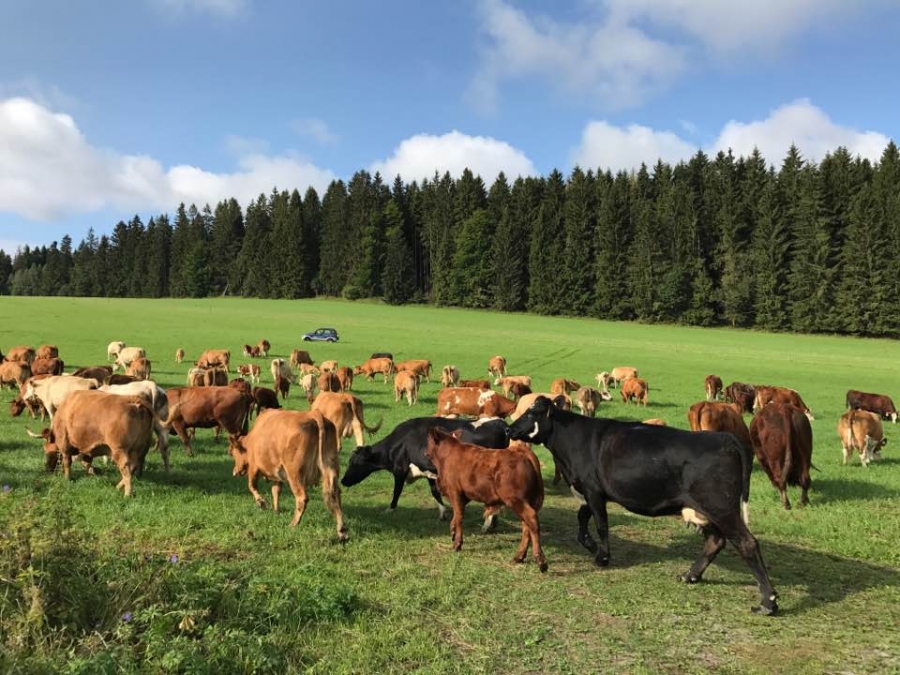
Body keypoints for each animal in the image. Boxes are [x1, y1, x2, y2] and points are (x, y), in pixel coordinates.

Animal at [26, 390, 166, 495]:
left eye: (46, 450)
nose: (47, 469)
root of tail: (133, 399)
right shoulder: (87, 448)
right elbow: (87, 462)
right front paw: (90, 474)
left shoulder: (65, 445)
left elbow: (67, 462)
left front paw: (67, 478)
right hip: (139, 448)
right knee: (134, 466)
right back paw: (118, 486)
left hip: (119, 450)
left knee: (126, 468)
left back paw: (127, 493)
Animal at [228, 409, 348, 541]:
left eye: (232, 452)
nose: (234, 471)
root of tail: (314, 414)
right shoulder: (278, 474)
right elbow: (275, 490)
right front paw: (276, 511)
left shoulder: (254, 467)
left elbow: (252, 486)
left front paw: (262, 503)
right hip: (331, 466)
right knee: (335, 494)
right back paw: (341, 530)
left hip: (294, 473)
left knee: (302, 497)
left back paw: (293, 524)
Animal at [342, 416, 511, 520]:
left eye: (354, 463)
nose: (343, 481)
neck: (399, 443)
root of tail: (502, 424)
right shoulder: (429, 472)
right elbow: (435, 492)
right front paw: (443, 512)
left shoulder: (400, 469)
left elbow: (397, 491)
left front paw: (390, 509)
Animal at [425, 428, 547, 572]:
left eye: (428, 440)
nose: (424, 452)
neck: (448, 456)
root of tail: (521, 451)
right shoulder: (464, 496)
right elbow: (456, 516)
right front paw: (453, 532)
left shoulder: (455, 492)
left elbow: (459, 516)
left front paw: (457, 544)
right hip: (525, 502)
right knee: (526, 526)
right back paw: (518, 557)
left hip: (516, 500)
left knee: (532, 520)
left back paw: (541, 561)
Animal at [507, 396, 778, 616]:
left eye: (531, 413)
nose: (509, 428)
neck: (571, 444)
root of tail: (726, 439)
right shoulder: (589, 491)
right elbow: (582, 518)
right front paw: (590, 545)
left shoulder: (593, 490)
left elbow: (601, 524)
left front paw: (603, 556)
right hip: (705, 508)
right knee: (715, 541)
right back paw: (690, 575)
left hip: (721, 507)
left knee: (746, 543)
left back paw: (768, 602)